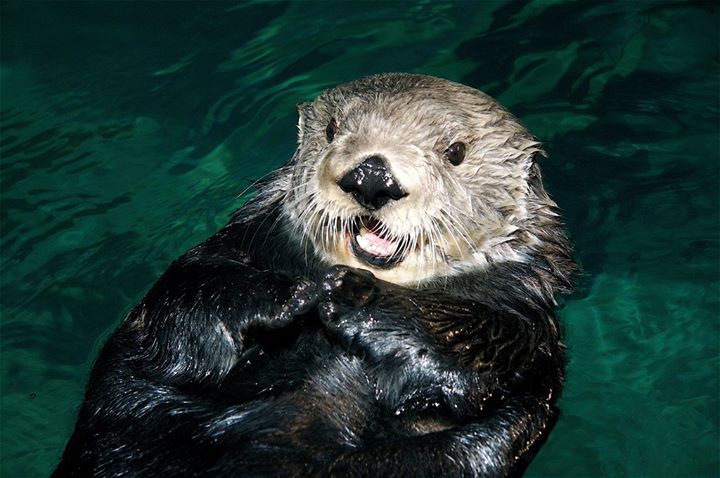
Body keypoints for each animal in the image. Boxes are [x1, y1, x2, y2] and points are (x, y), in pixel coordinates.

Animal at [54, 73, 575, 477]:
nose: (372, 176)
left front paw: (356, 298)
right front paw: (285, 294)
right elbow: (179, 310)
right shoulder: (213, 265)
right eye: (331, 129)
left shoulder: (530, 334)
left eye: (456, 152)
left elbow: (485, 348)